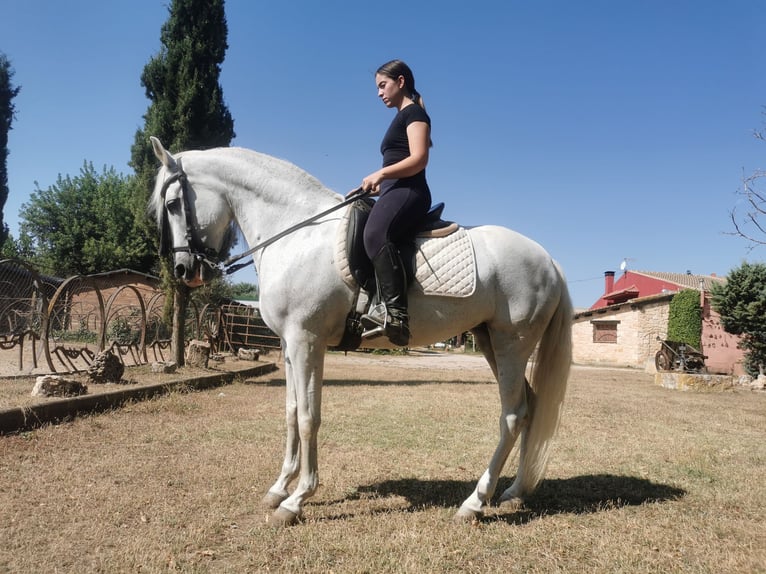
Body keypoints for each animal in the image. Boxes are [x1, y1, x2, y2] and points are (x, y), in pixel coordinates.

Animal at [150, 137, 568, 528]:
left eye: (172, 204)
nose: (184, 270)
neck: (297, 233)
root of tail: (549, 260)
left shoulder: (307, 341)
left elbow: (309, 418)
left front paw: (297, 499)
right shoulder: (290, 346)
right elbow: (291, 413)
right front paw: (278, 488)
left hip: (512, 344)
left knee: (511, 416)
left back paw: (474, 503)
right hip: (489, 341)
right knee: (529, 409)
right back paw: (514, 492)